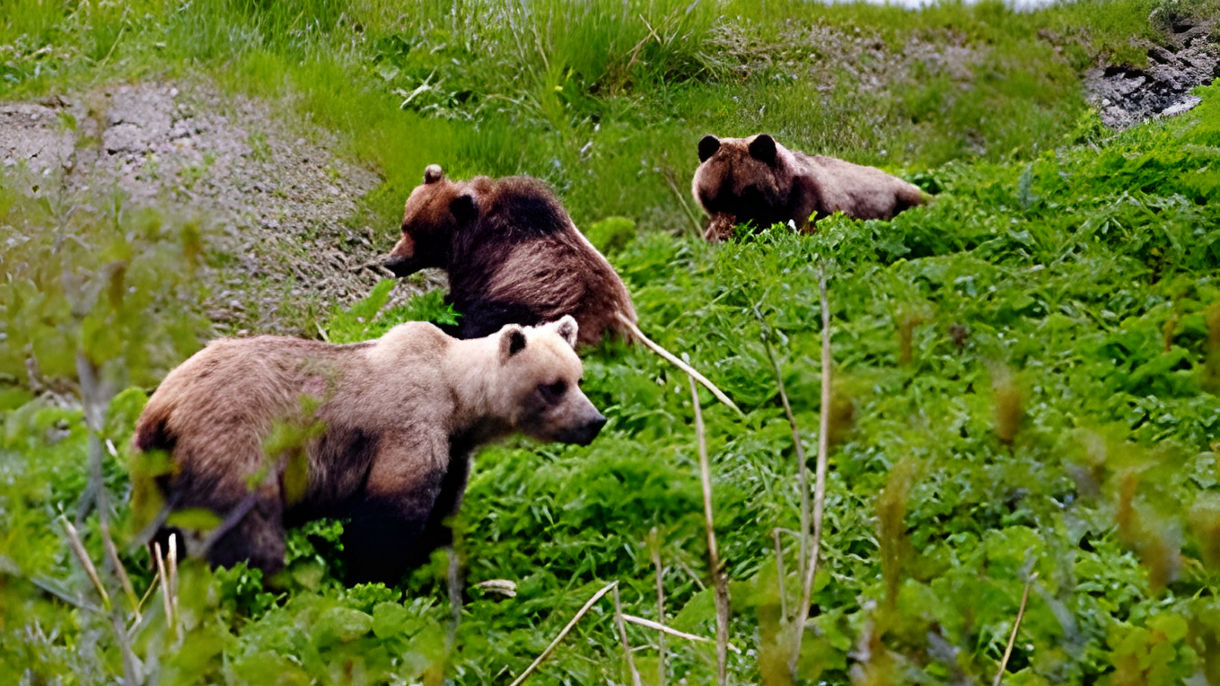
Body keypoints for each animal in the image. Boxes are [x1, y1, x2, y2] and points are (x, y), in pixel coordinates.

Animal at [132, 316, 604, 584]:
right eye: (553, 386)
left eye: (578, 377)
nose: (594, 421)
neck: (459, 401)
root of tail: (164, 405)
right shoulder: (409, 423)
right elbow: (387, 516)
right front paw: (376, 577)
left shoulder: (454, 450)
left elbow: (442, 511)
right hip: (236, 443)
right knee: (247, 531)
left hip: (156, 467)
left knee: (160, 534)